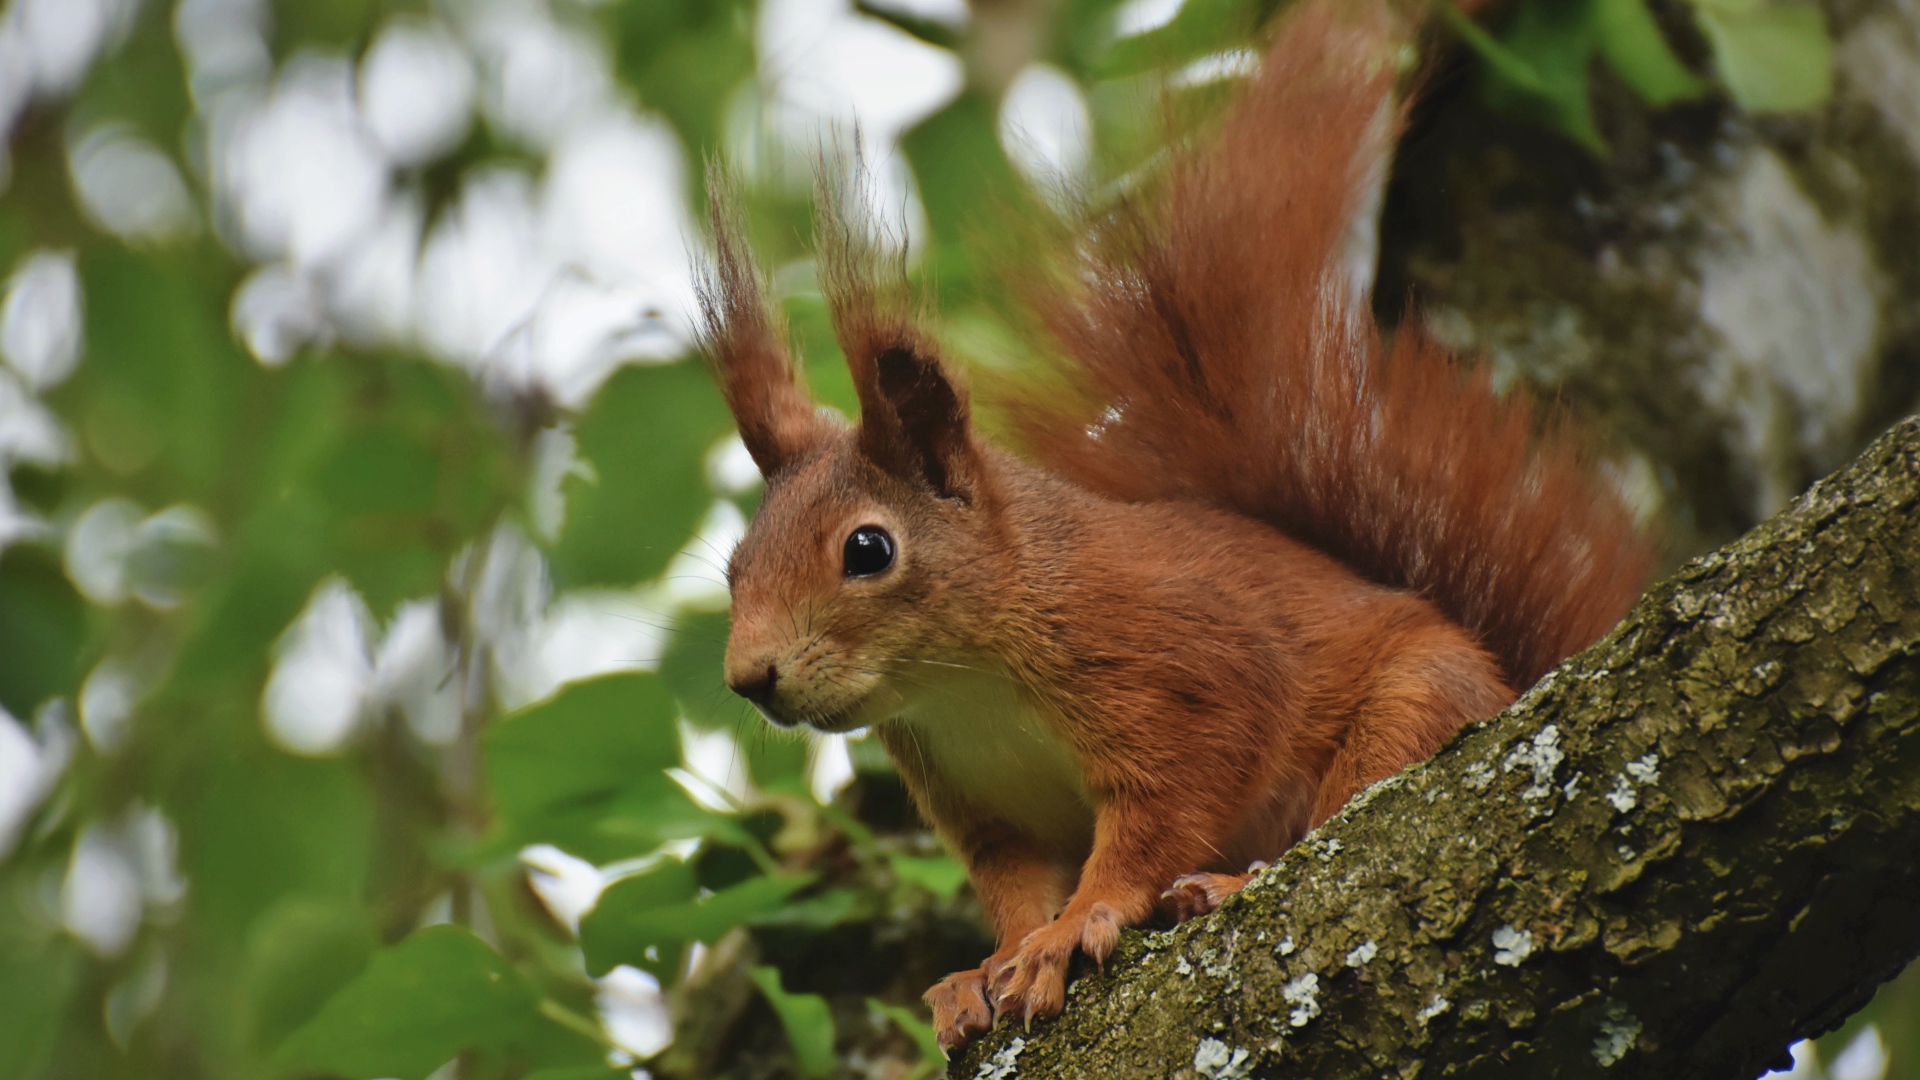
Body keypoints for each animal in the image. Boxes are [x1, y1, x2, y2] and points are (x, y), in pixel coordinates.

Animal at [691, 0, 1651, 1053]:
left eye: (867, 549)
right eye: (734, 565)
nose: (749, 677)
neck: (964, 680)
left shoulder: (1178, 669)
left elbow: (1160, 819)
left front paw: (1072, 930)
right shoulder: (980, 799)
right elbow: (1011, 883)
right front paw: (988, 966)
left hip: (1418, 705)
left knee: (1353, 801)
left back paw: (1230, 882)